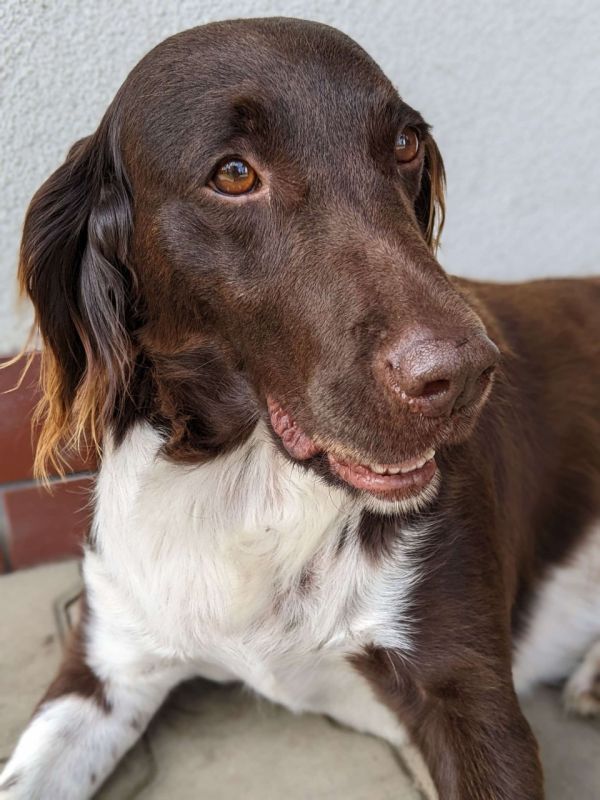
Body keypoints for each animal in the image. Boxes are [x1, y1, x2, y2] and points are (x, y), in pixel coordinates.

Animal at [1, 17, 599, 800]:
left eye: (404, 145)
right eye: (233, 174)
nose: (466, 373)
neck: (248, 484)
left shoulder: (472, 704)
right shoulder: (106, 665)